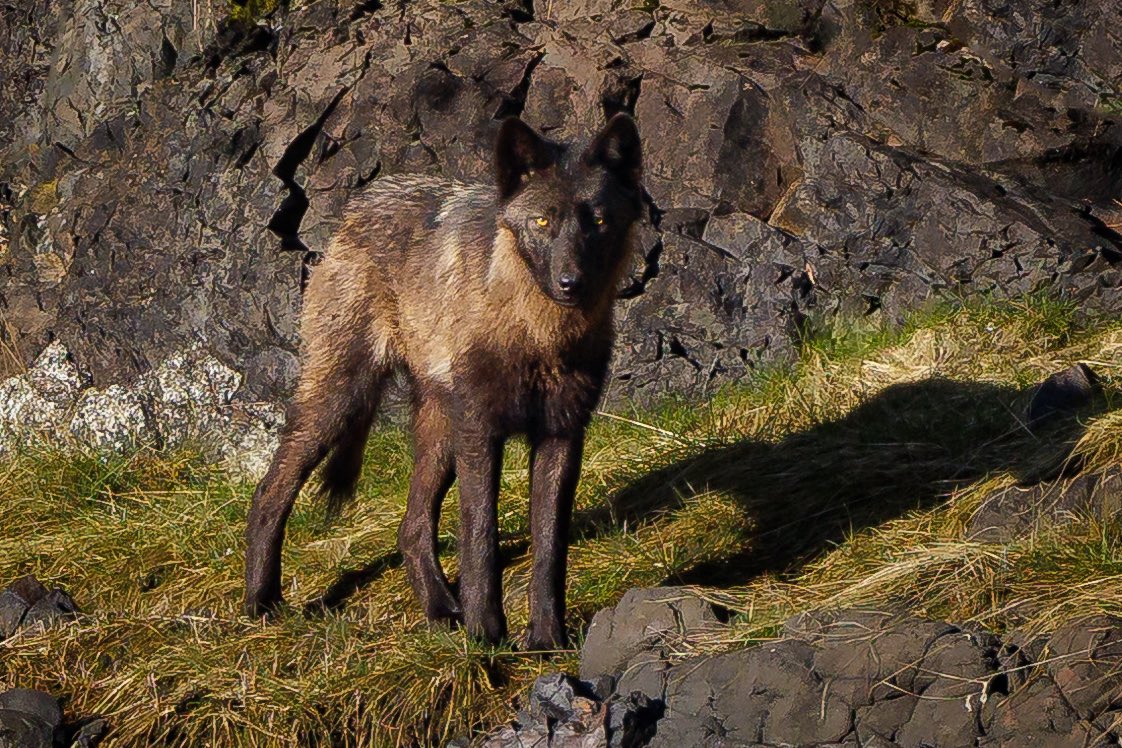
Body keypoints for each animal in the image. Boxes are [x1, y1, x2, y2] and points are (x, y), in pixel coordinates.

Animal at [244, 113, 643, 649]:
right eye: (543, 222)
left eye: (598, 221)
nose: (570, 283)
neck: (536, 336)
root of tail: (358, 206)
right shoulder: (481, 431)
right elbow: (480, 537)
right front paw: (486, 637)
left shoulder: (562, 434)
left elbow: (550, 547)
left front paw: (547, 640)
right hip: (341, 403)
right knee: (269, 494)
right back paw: (261, 601)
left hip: (438, 433)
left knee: (411, 527)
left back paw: (438, 609)